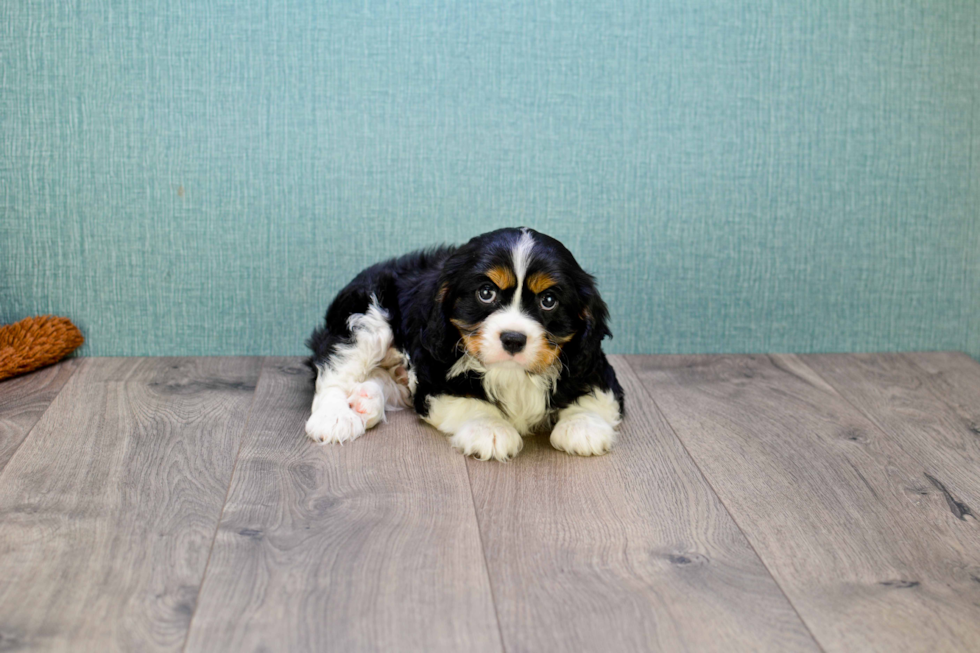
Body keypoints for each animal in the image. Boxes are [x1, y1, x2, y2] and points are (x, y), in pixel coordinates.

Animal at [306, 227, 624, 460]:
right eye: (486, 293)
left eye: (548, 300)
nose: (513, 338)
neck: (512, 374)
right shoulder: (435, 375)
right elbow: (468, 399)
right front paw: (491, 429)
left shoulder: (592, 363)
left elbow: (594, 394)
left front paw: (582, 425)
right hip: (366, 317)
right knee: (336, 372)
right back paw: (335, 417)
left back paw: (365, 401)